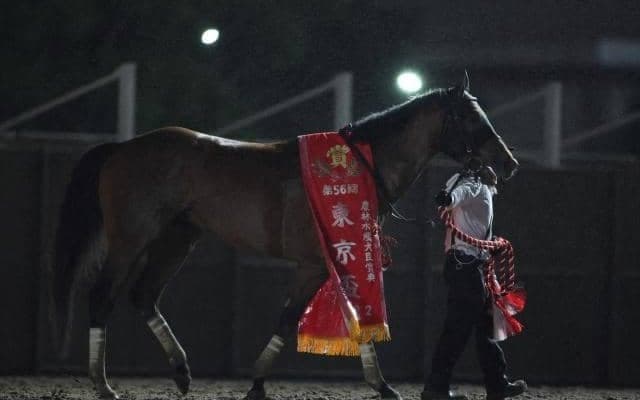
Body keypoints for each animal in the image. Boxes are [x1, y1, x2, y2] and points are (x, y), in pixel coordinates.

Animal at [49, 73, 518, 400]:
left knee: (144, 296)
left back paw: (181, 372)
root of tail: (123, 148)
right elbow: (291, 318)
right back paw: (103, 384)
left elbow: (355, 323)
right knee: (102, 297)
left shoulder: (342, 260)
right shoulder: (317, 264)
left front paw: (382, 386)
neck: (360, 166)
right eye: (472, 118)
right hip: (131, 239)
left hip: (178, 239)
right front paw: (258, 382)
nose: (508, 162)